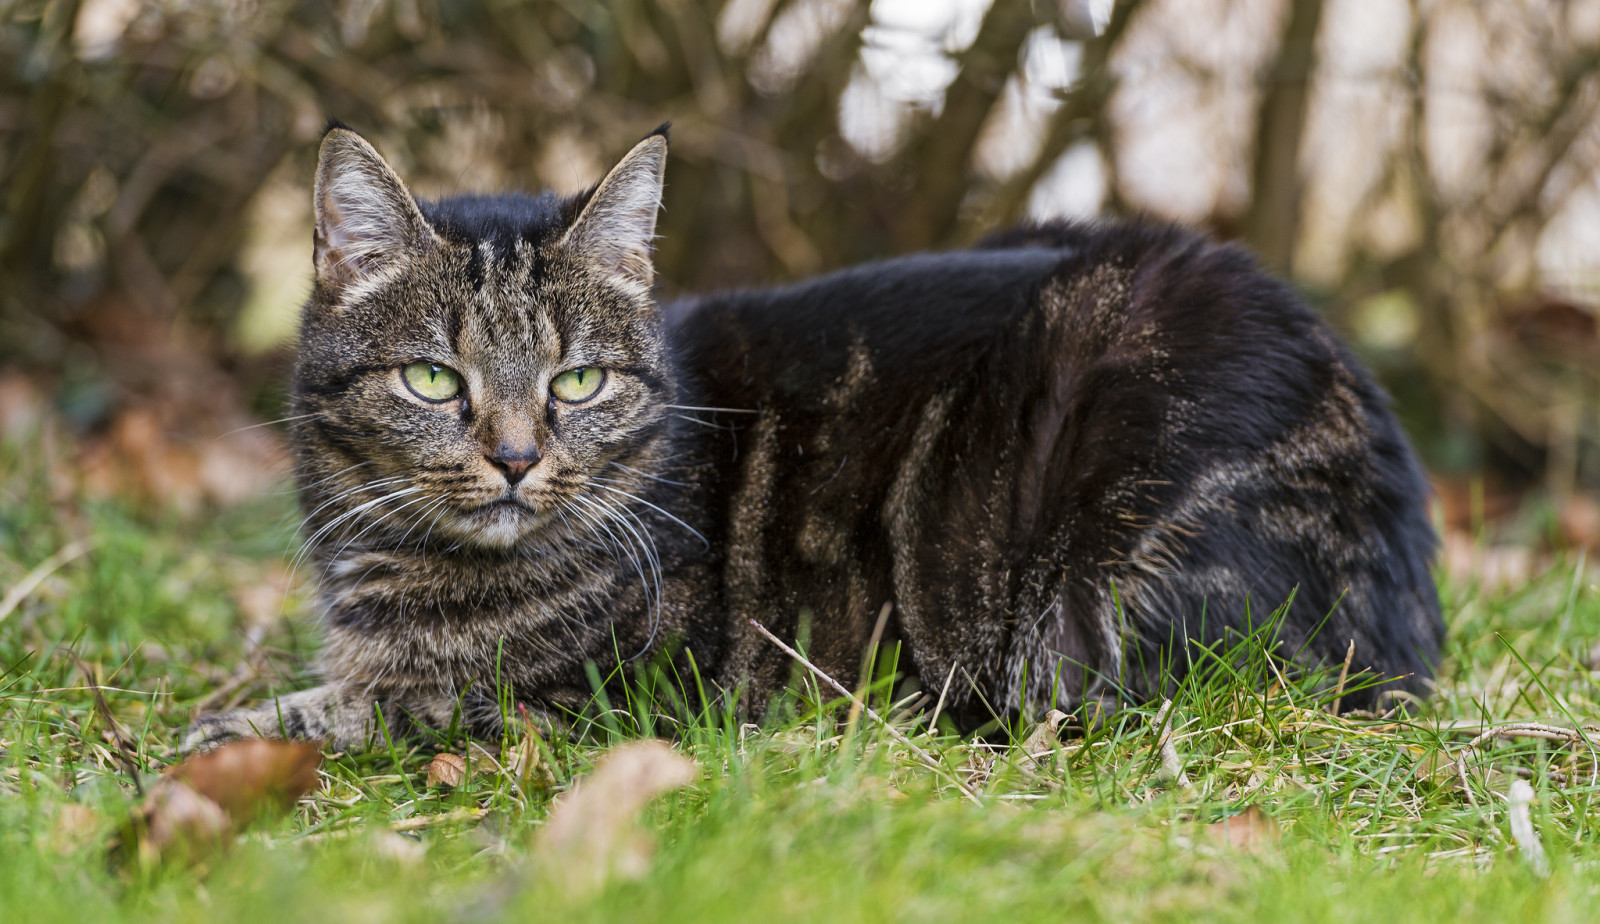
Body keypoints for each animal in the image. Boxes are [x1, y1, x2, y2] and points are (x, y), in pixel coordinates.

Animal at [181, 122, 1446, 744]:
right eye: (433, 378)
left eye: (577, 382)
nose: (514, 457)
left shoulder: (626, 694)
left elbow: (396, 703)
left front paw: (222, 733)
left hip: (1077, 603)